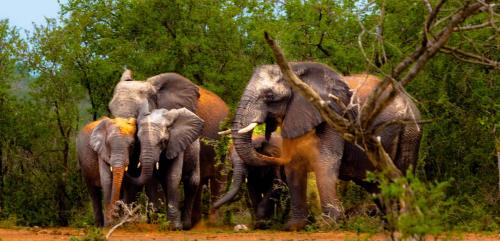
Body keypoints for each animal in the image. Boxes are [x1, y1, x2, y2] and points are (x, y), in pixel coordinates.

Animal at [230, 62, 422, 230]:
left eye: (269, 96)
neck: (294, 68)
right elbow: (294, 165)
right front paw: (293, 227)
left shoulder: (332, 114)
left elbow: (325, 160)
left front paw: (328, 225)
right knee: (375, 183)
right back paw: (388, 227)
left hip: (409, 132)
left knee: (400, 175)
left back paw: (405, 224)